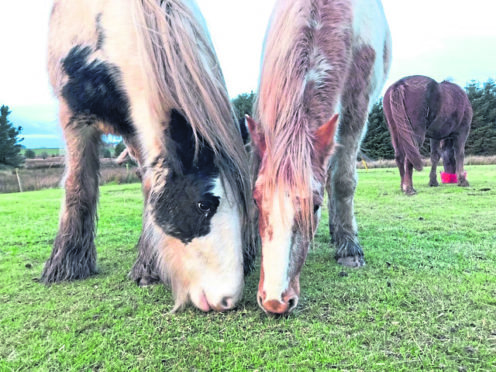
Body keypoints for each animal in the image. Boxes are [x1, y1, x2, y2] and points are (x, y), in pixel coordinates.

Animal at [41, 0, 256, 312]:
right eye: (203, 205)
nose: (228, 300)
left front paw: (147, 267)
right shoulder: (74, 116)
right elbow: (78, 186)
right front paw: (65, 265)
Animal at [247, 0, 392, 314]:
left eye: (314, 206)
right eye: (256, 200)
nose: (275, 301)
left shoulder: (355, 110)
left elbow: (343, 182)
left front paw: (349, 250)